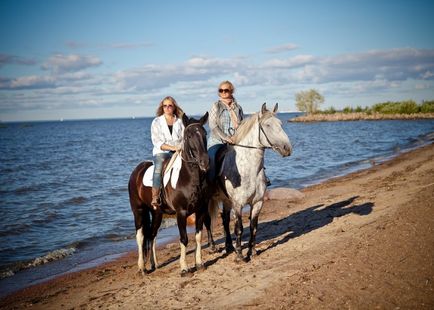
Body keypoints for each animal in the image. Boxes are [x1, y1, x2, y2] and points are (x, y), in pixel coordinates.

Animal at [209, 103, 292, 260]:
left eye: (280, 124)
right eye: (267, 125)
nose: (287, 148)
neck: (248, 170)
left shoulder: (258, 202)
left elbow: (254, 227)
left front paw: (251, 251)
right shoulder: (238, 204)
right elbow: (239, 228)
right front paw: (239, 256)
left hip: (226, 200)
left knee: (225, 219)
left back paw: (229, 246)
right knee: (206, 220)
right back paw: (213, 246)